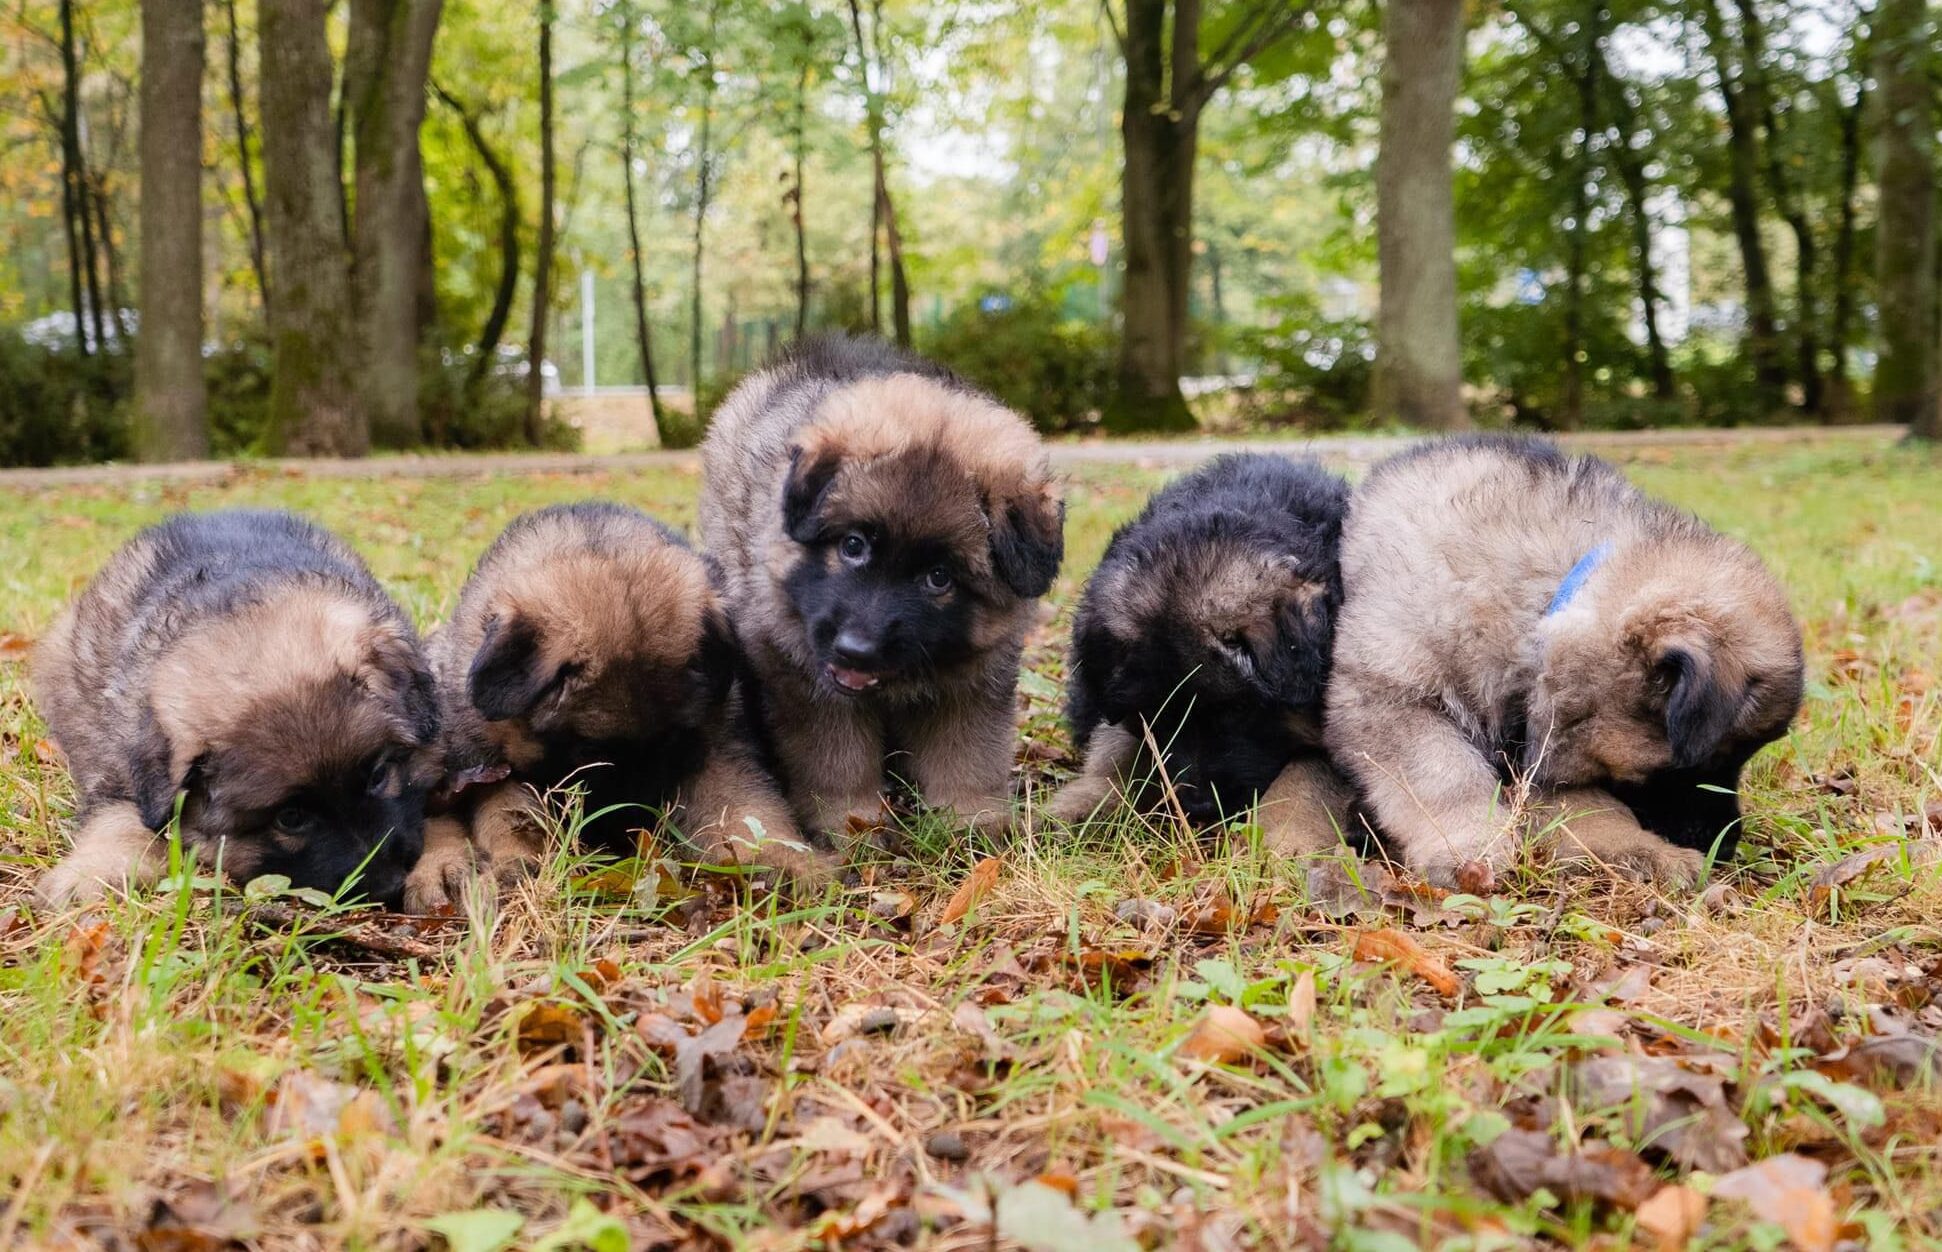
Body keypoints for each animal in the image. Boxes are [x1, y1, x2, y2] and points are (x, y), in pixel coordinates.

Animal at [33, 508, 440, 908]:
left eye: (378, 776)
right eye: (290, 819)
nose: (389, 886)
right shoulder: (117, 772)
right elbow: (116, 818)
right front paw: (89, 875)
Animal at [401, 496, 827, 908]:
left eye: (671, 742)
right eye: (588, 752)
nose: (627, 834)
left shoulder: (714, 747)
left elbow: (743, 806)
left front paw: (780, 859)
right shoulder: (488, 763)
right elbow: (508, 811)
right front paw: (513, 864)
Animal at [699, 331, 1064, 838]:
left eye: (939, 577)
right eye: (853, 545)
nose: (857, 650)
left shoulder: (976, 678)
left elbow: (969, 753)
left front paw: (973, 823)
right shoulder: (806, 677)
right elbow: (836, 761)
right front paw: (853, 825)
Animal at [1056, 448, 1359, 850]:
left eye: (1241, 710)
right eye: (1153, 715)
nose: (1199, 807)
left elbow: (1307, 770)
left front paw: (1286, 836)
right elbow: (1115, 748)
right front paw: (1085, 801)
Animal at [1320, 434, 1802, 885]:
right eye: (1699, 764)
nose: (1727, 846)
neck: (1544, 604)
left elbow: (1584, 807)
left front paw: (1639, 850)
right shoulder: (1387, 693)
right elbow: (1442, 772)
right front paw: (1466, 845)